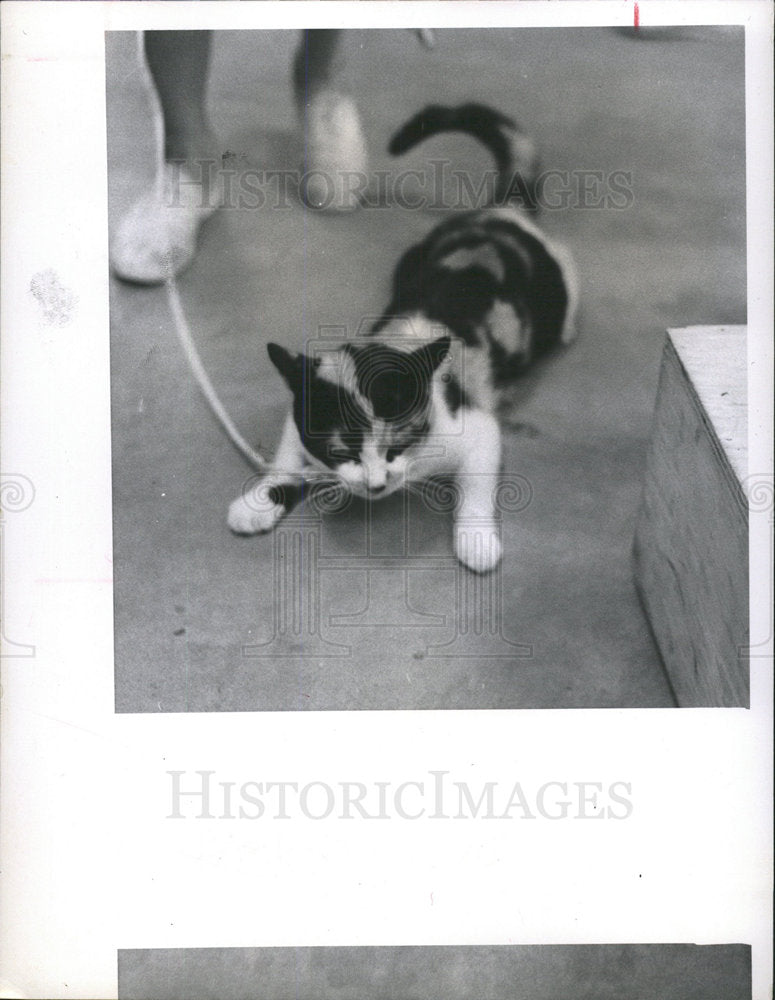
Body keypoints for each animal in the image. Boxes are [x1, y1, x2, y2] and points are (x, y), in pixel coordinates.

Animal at [227, 102, 580, 576]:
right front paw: (259, 502)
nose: (376, 485)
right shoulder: (299, 405)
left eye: (397, 445)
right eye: (341, 451)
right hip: (412, 255)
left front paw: (477, 539)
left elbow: (477, 485)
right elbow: (287, 459)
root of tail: (503, 213)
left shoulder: (473, 426)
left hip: (552, 287)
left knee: (569, 273)